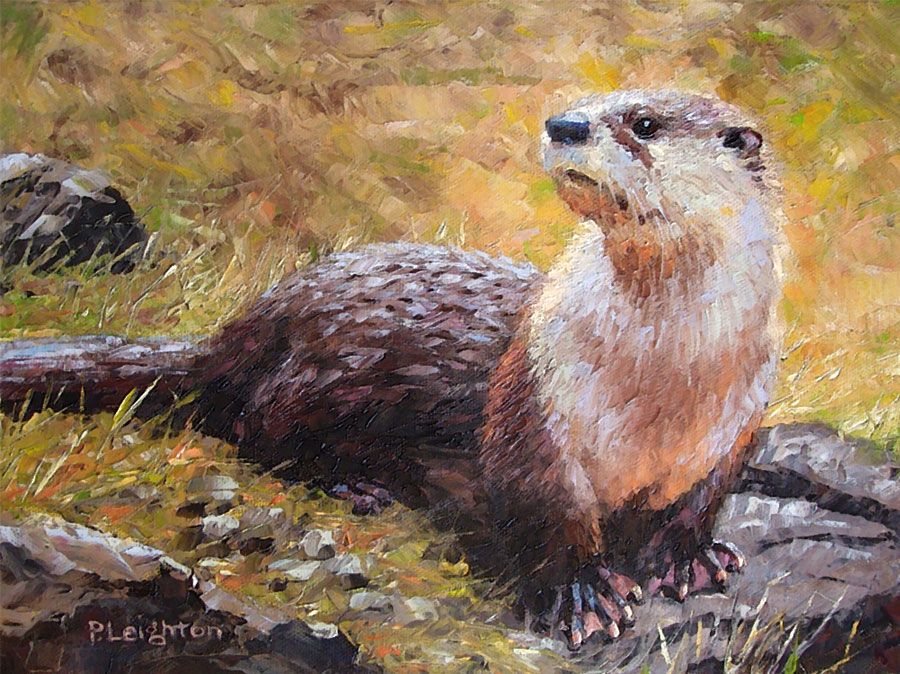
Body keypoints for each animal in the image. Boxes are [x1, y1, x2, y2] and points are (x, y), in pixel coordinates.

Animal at [0, 90, 784, 650]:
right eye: (588, 103)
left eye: (644, 123)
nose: (562, 122)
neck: (664, 384)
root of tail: (258, 318)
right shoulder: (537, 406)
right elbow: (543, 511)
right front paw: (581, 597)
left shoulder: (739, 421)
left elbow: (701, 500)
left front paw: (690, 559)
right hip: (326, 373)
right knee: (252, 425)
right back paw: (356, 482)